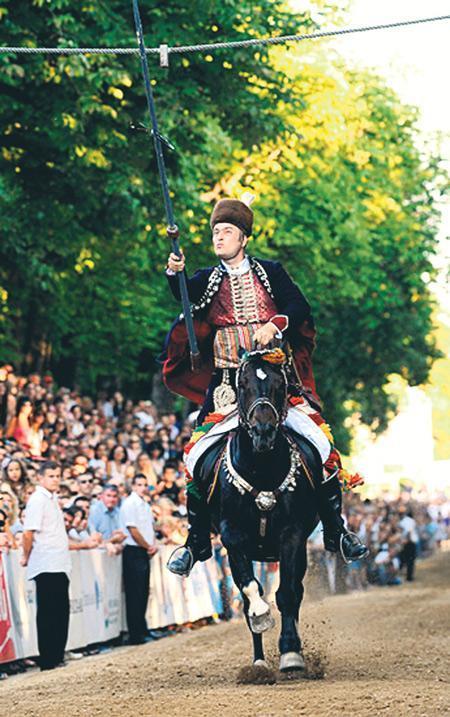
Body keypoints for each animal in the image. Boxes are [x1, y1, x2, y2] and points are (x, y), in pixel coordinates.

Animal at [197, 348, 324, 672]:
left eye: (281, 385)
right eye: (242, 386)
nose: (263, 432)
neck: (260, 468)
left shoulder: (292, 535)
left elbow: (288, 593)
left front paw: (290, 653)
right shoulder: (232, 536)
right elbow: (250, 590)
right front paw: (260, 616)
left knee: (295, 591)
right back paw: (259, 662)